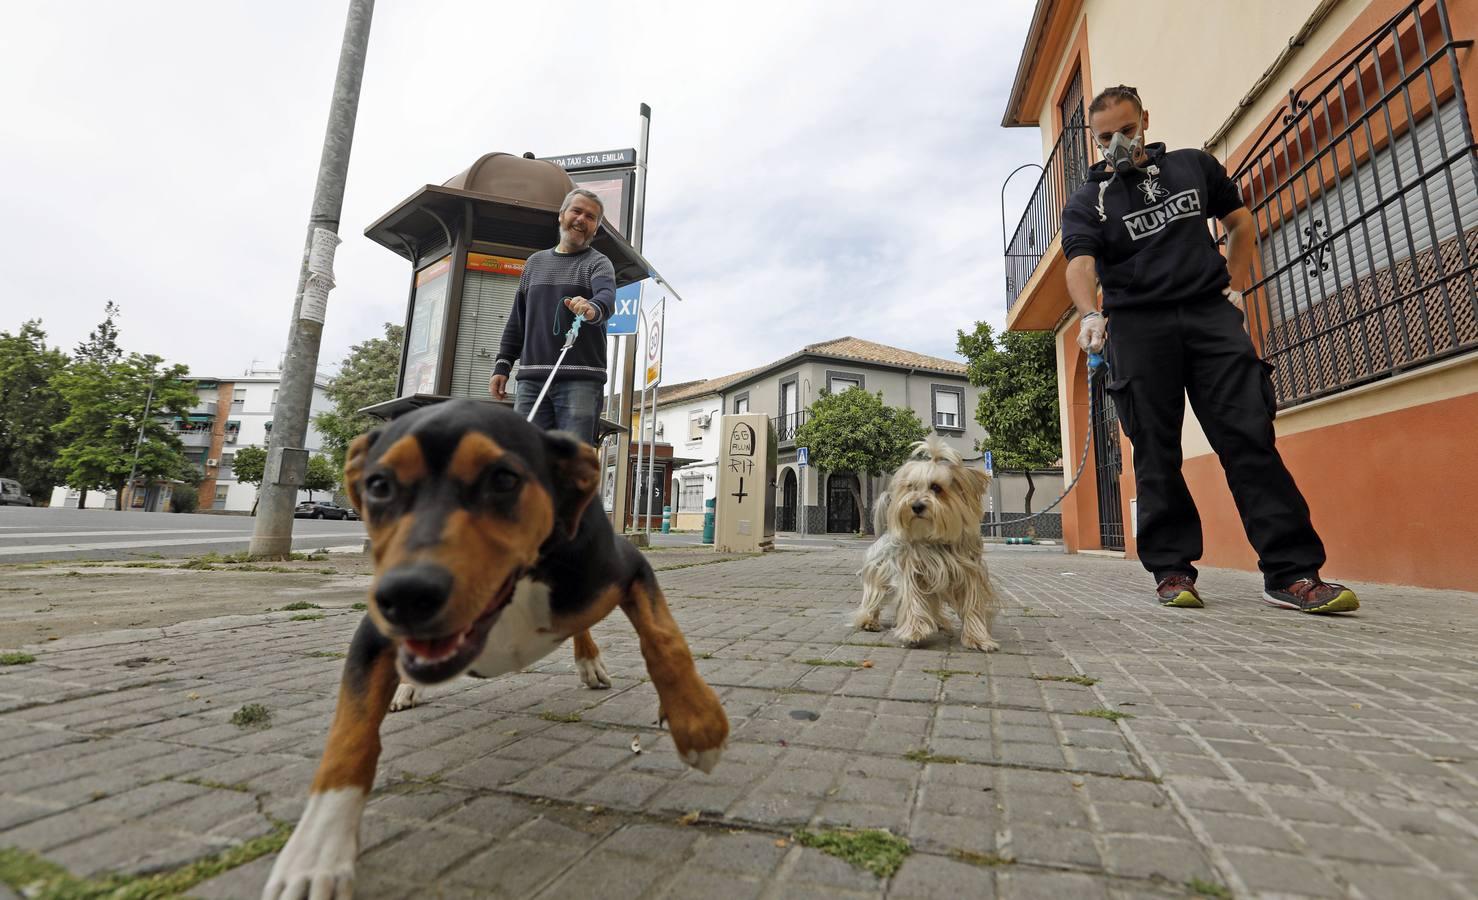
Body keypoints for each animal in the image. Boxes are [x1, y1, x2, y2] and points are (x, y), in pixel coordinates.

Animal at [267, 401, 733, 898]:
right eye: (378, 485)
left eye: (504, 479)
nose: (406, 596)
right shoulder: (373, 635)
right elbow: (349, 735)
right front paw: (316, 851)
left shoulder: (628, 569)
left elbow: (664, 638)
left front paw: (698, 723)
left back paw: (590, 663)